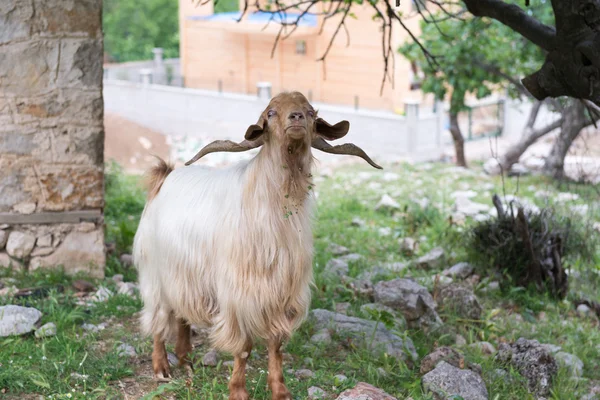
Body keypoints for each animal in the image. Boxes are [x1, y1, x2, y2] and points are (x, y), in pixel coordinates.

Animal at [133, 91, 382, 400]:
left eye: (311, 112)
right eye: (271, 113)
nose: (296, 117)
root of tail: (165, 177)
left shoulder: (283, 294)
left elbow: (276, 345)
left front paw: (280, 391)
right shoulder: (238, 296)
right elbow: (244, 348)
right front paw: (238, 391)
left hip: (184, 275)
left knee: (181, 315)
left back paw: (186, 360)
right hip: (155, 271)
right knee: (158, 317)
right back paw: (161, 368)